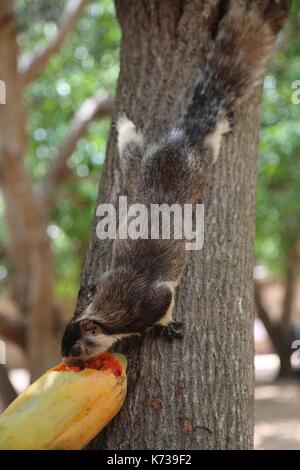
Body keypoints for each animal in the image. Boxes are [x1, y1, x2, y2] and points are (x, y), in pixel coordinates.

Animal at [61, 0, 290, 366]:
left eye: (78, 350)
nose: (66, 362)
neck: (113, 309)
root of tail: (182, 137)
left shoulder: (155, 299)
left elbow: (165, 307)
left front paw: (169, 327)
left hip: (201, 160)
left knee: (206, 135)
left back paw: (218, 123)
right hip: (143, 168)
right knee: (132, 151)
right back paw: (125, 125)